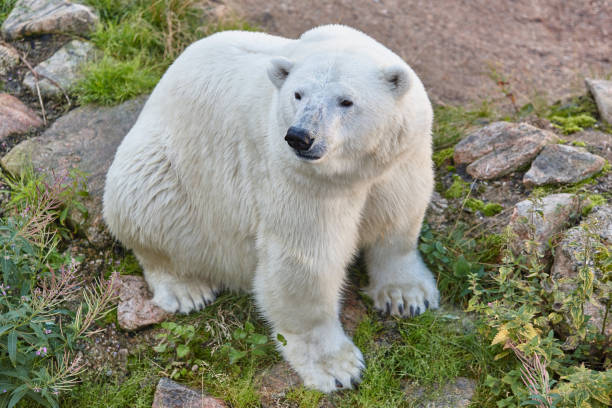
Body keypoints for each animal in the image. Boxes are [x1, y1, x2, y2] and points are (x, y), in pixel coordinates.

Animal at [105, 24, 440, 392]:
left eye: (346, 101)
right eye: (298, 94)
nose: (300, 136)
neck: (352, 170)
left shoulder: (401, 156)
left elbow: (397, 219)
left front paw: (407, 297)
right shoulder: (298, 178)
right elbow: (305, 259)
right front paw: (337, 368)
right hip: (165, 172)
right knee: (146, 205)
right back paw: (187, 290)